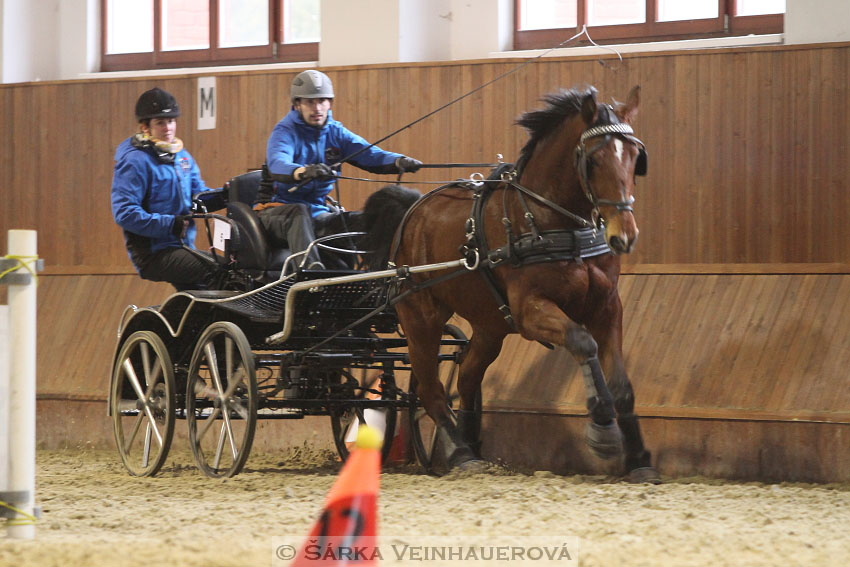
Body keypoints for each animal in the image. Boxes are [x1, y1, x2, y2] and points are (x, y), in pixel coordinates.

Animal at [358, 85, 656, 484]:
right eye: (593, 161)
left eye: (635, 157)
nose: (624, 235)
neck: (551, 222)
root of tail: (413, 211)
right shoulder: (531, 311)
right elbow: (582, 341)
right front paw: (603, 429)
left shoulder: (607, 307)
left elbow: (622, 384)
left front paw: (639, 458)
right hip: (421, 316)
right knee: (431, 388)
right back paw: (461, 452)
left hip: (491, 324)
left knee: (467, 374)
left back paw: (471, 443)